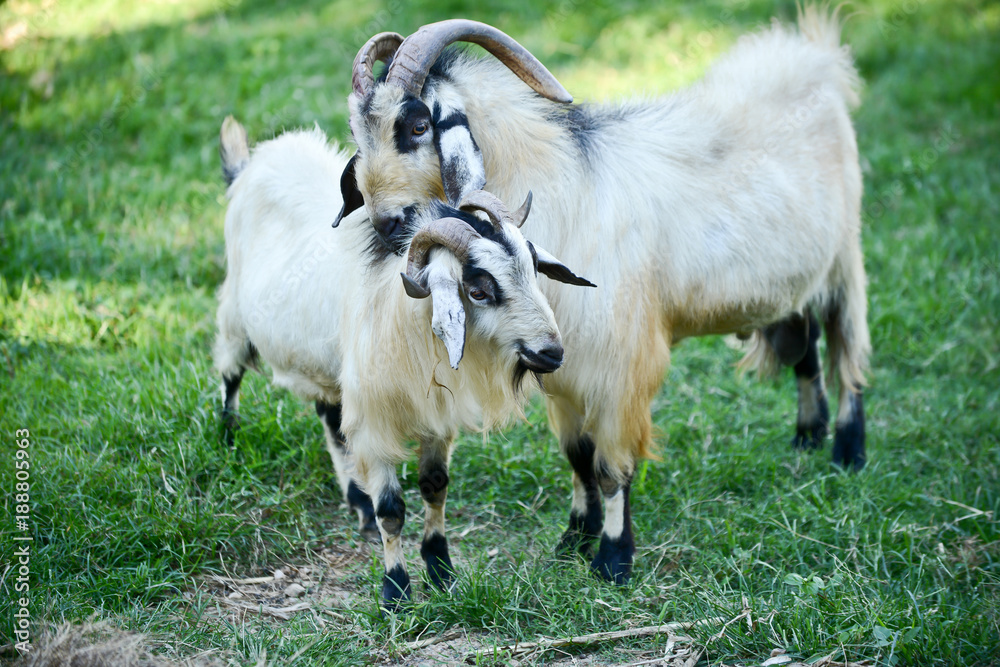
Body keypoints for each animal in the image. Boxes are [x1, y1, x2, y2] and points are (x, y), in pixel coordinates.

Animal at [213, 117, 594, 608]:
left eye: (532, 269)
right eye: (478, 289)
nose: (551, 352)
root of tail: (249, 165)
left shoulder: (434, 417)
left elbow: (435, 487)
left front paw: (440, 569)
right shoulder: (374, 423)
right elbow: (392, 509)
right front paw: (395, 590)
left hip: (331, 367)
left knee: (329, 417)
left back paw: (356, 500)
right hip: (234, 321)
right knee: (230, 374)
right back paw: (228, 437)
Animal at [335, 6, 871, 586]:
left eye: (416, 125)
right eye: (357, 132)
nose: (386, 228)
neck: (568, 189)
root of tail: (815, 56)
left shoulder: (622, 366)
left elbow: (612, 466)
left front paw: (613, 558)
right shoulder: (559, 367)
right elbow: (578, 457)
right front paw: (574, 538)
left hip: (845, 259)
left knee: (847, 349)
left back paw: (848, 450)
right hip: (794, 280)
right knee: (805, 344)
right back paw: (807, 434)